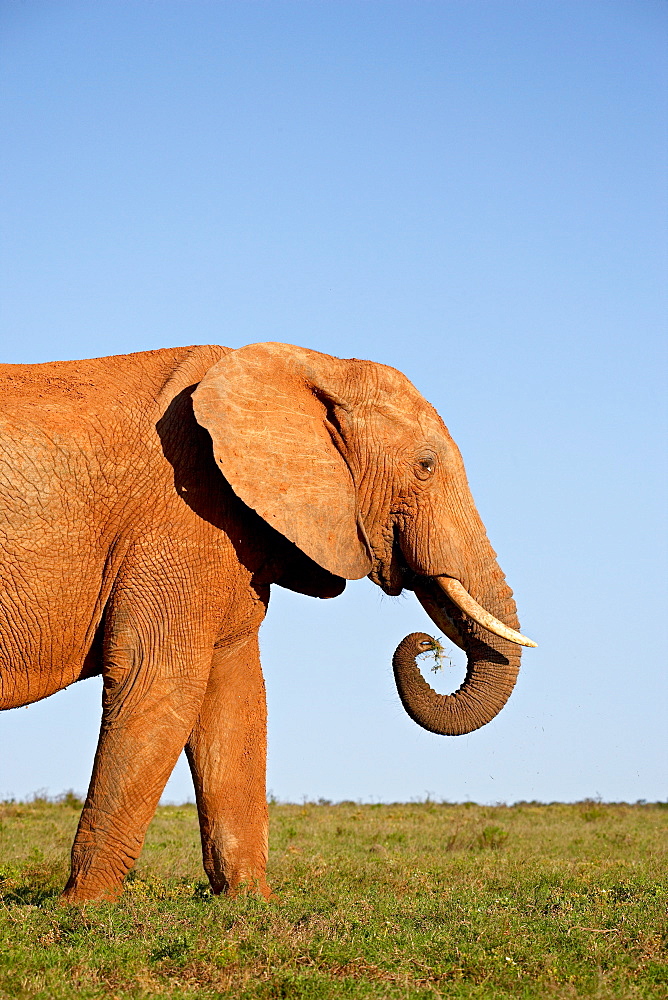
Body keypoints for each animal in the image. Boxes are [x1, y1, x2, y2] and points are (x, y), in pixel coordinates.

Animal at [0, 342, 536, 900]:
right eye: (425, 466)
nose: (427, 646)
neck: (314, 365)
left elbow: (235, 695)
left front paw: (248, 904)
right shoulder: (177, 519)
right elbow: (160, 678)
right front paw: (82, 909)